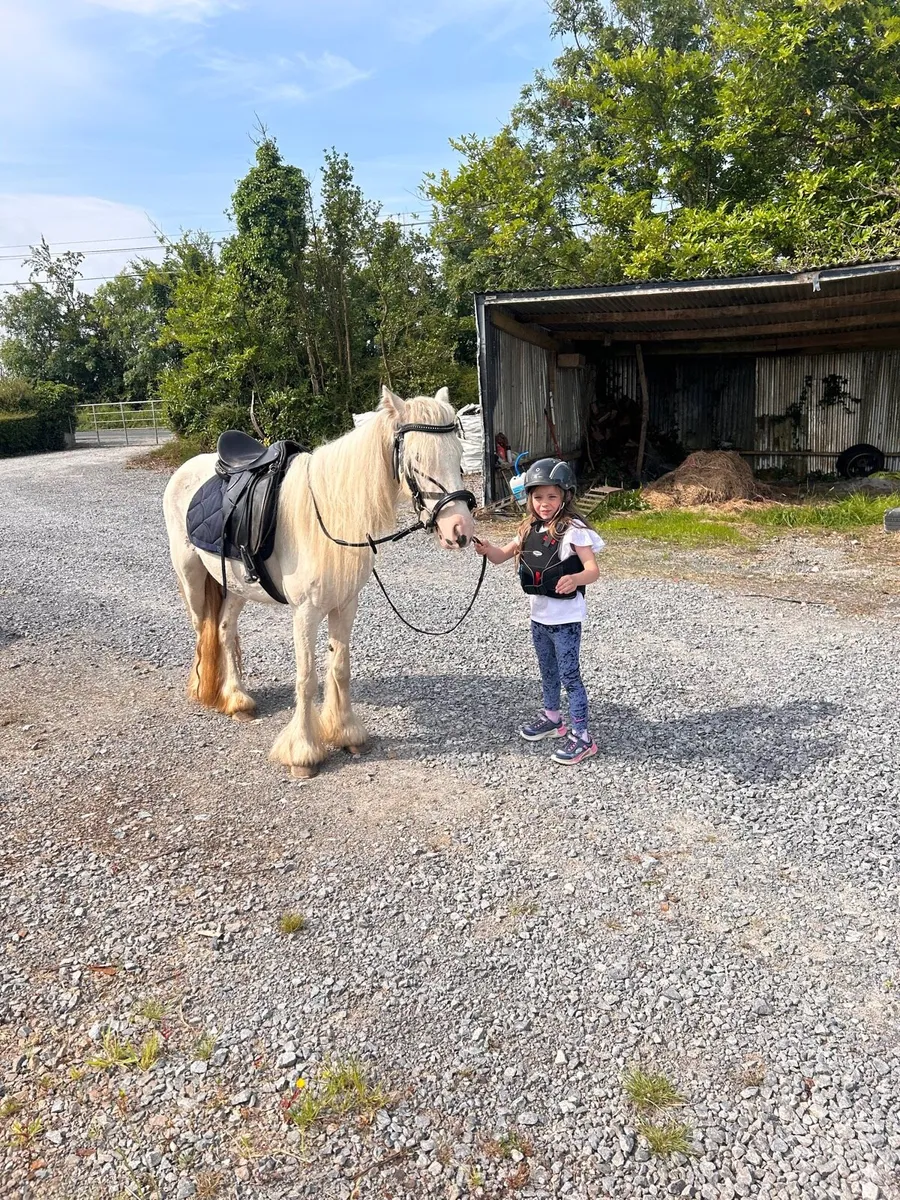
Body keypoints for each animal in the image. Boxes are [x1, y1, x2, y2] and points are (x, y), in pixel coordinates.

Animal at [162, 386, 476, 777]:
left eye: (459, 455)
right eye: (417, 459)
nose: (460, 530)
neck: (330, 515)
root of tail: (188, 468)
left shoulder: (345, 605)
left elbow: (339, 668)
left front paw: (346, 734)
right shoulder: (306, 612)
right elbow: (307, 678)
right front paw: (303, 752)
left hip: (235, 587)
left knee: (223, 630)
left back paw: (237, 699)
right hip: (191, 577)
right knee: (202, 629)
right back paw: (205, 688)